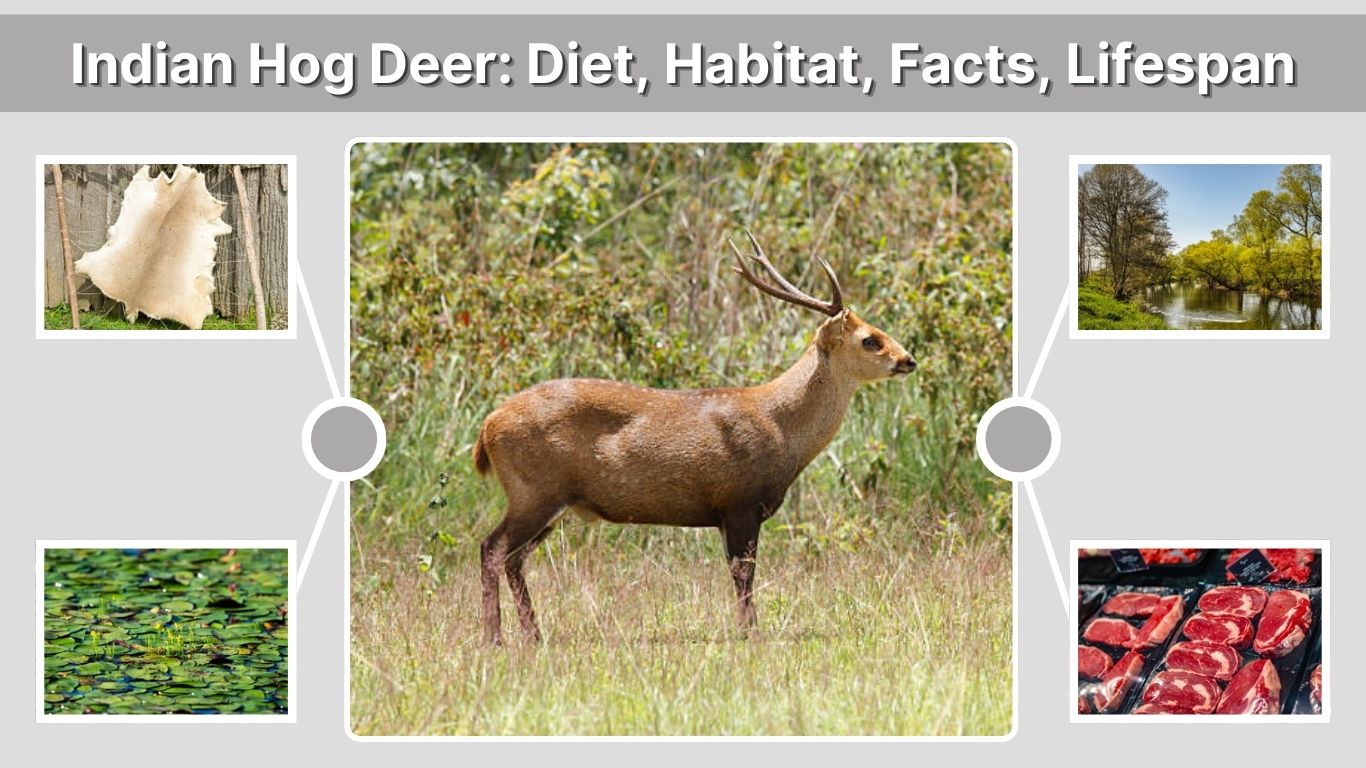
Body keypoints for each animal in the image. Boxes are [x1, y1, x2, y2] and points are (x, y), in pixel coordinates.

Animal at [472, 231, 916, 644]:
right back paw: (495, 637)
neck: (781, 427)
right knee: (492, 549)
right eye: (870, 339)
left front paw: (747, 629)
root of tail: (487, 427)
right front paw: (750, 632)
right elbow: (743, 573)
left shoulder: (726, 512)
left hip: (550, 501)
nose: (909, 359)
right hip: (535, 490)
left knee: (512, 558)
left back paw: (533, 634)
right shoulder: (739, 500)